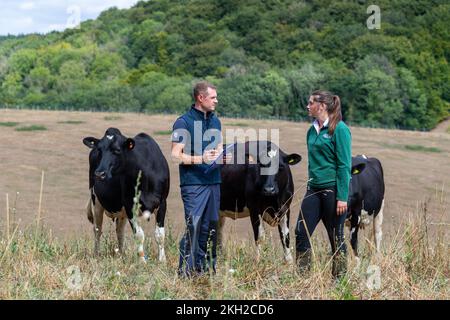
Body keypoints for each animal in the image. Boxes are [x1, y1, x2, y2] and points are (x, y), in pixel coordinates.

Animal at [83, 127, 171, 262]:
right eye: (99, 150)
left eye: (117, 150)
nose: (99, 173)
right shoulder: (130, 205)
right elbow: (139, 235)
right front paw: (142, 261)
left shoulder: (162, 202)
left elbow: (160, 234)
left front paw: (162, 260)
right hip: (96, 201)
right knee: (97, 230)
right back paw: (97, 254)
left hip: (121, 211)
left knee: (120, 231)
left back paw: (121, 254)